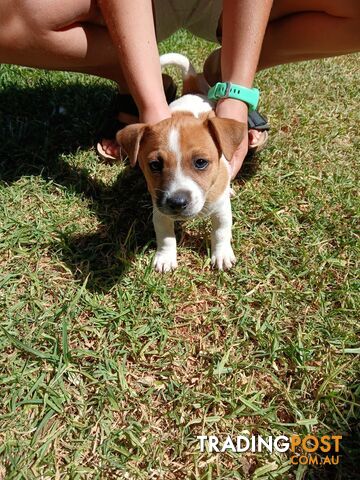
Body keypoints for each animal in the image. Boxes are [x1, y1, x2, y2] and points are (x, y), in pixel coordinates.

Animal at [116, 54, 246, 272]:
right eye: (155, 165)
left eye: (201, 162)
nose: (177, 202)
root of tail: (192, 91)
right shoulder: (160, 211)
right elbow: (165, 236)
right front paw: (165, 257)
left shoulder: (221, 210)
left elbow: (221, 232)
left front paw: (221, 255)